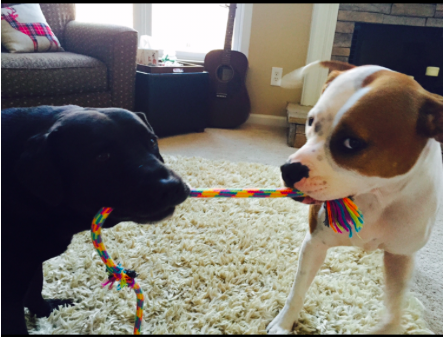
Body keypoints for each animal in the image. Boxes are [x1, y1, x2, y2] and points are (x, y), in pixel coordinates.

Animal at [1, 105, 190, 334]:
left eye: (152, 141)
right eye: (102, 156)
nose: (172, 185)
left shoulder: (32, 259)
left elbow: (35, 288)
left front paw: (45, 311)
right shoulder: (9, 289)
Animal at [268, 61, 442, 334]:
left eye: (352, 143)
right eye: (311, 122)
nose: (289, 170)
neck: (377, 196)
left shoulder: (400, 257)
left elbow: (395, 312)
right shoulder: (315, 243)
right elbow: (297, 291)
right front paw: (284, 323)